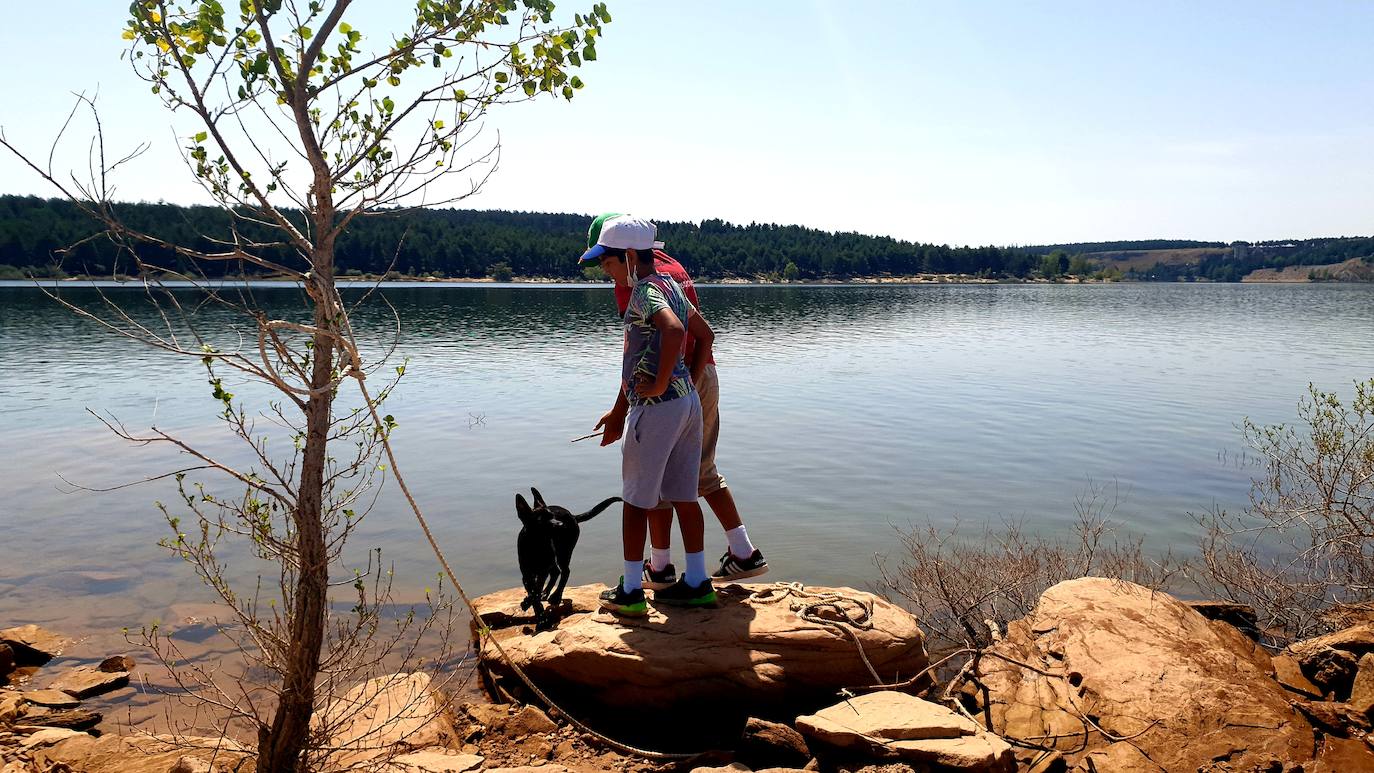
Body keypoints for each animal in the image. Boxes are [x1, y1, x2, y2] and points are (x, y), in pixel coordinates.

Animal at [516, 488, 621, 628]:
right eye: (541, 520)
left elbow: (535, 592)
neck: (536, 544)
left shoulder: (542, 571)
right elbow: (533, 592)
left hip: (564, 552)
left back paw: (556, 596)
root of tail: (572, 516)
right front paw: (536, 610)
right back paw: (546, 593)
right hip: (555, 556)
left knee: (565, 571)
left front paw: (540, 617)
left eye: (552, 516)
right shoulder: (526, 574)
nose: (561, 524)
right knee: (556, 571)